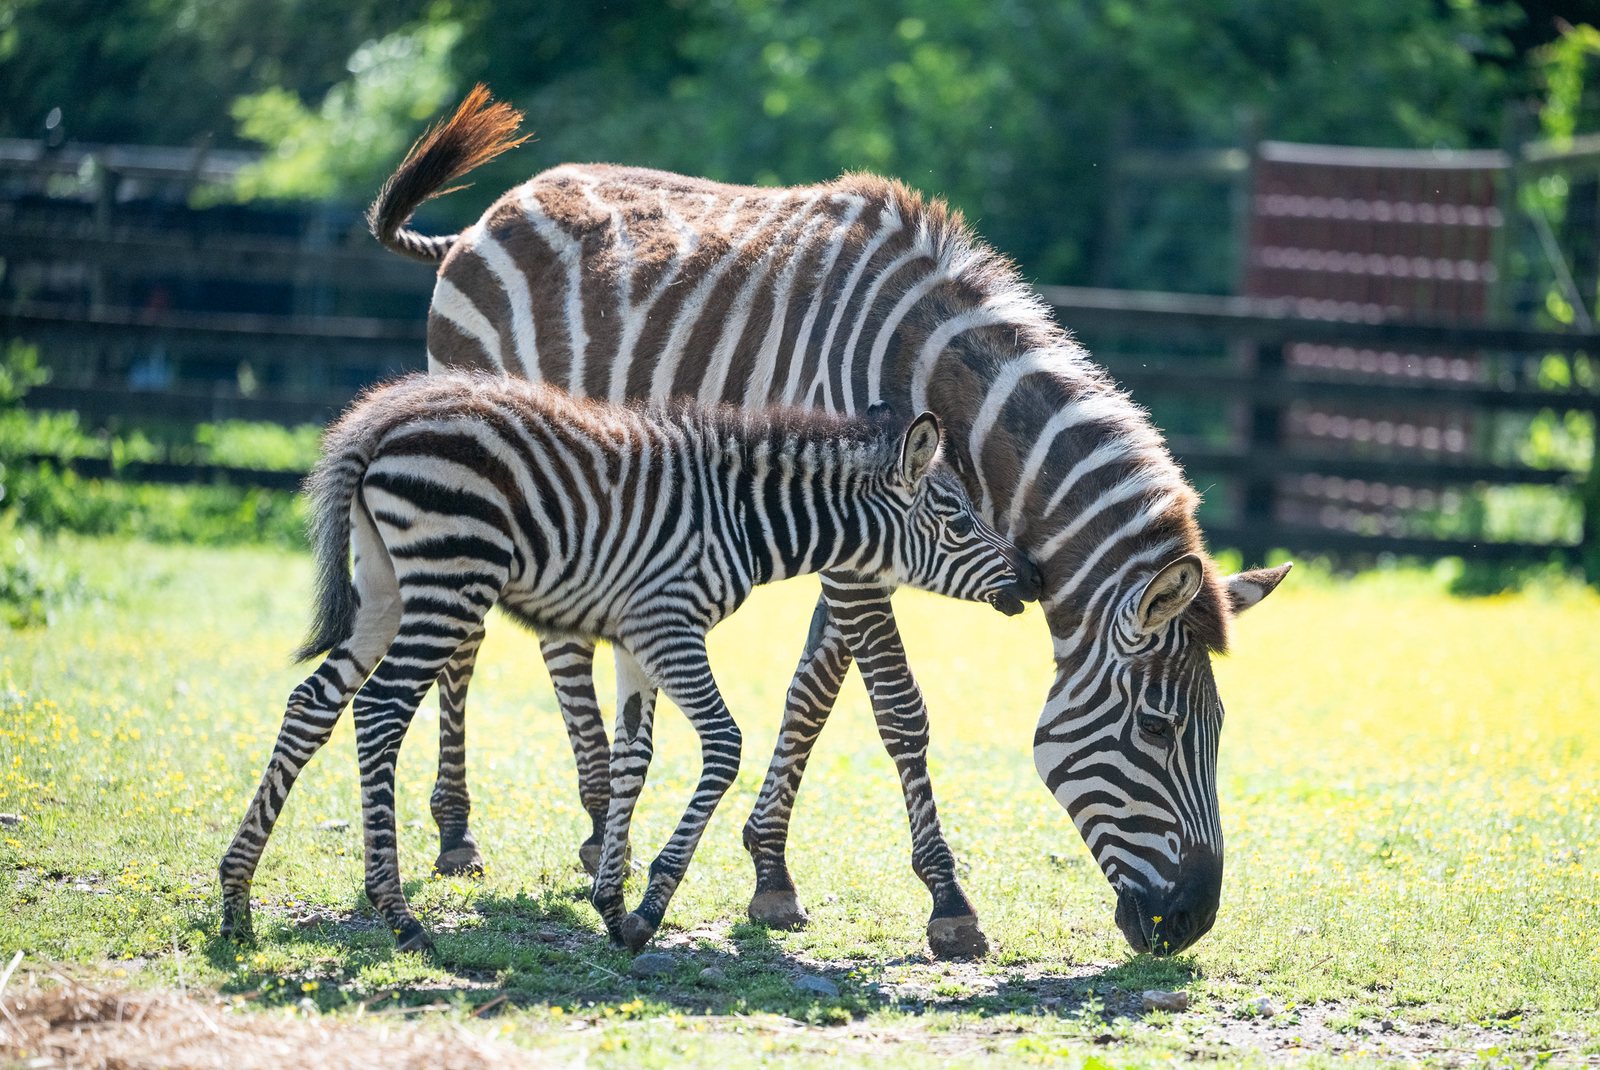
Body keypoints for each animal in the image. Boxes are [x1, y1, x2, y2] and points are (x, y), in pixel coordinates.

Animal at [217, 371, 1037, 952]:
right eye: (959, 521)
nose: (1030, 579)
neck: (740, 518)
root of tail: (383, 420)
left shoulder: (639, 636)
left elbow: (631, 760)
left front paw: (611, 903)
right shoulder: (670, 625)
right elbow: (722, 745)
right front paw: (649, 906)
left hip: (386, 587)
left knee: (314, 704)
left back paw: (236, 900)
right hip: (448, 583)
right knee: (382, 711)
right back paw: (397, 916)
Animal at [368, 88, 1292, 958]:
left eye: (1218, 730)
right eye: (1159, 728)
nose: (1192, 924)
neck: (935, 382)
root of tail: (482, 221)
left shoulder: (860, 544)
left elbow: (812, 693)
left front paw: (771, 874)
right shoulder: (856, 546)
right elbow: (899, 711)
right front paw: (949, 904)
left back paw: (586, 829)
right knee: (479, 644)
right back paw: (475, 833)